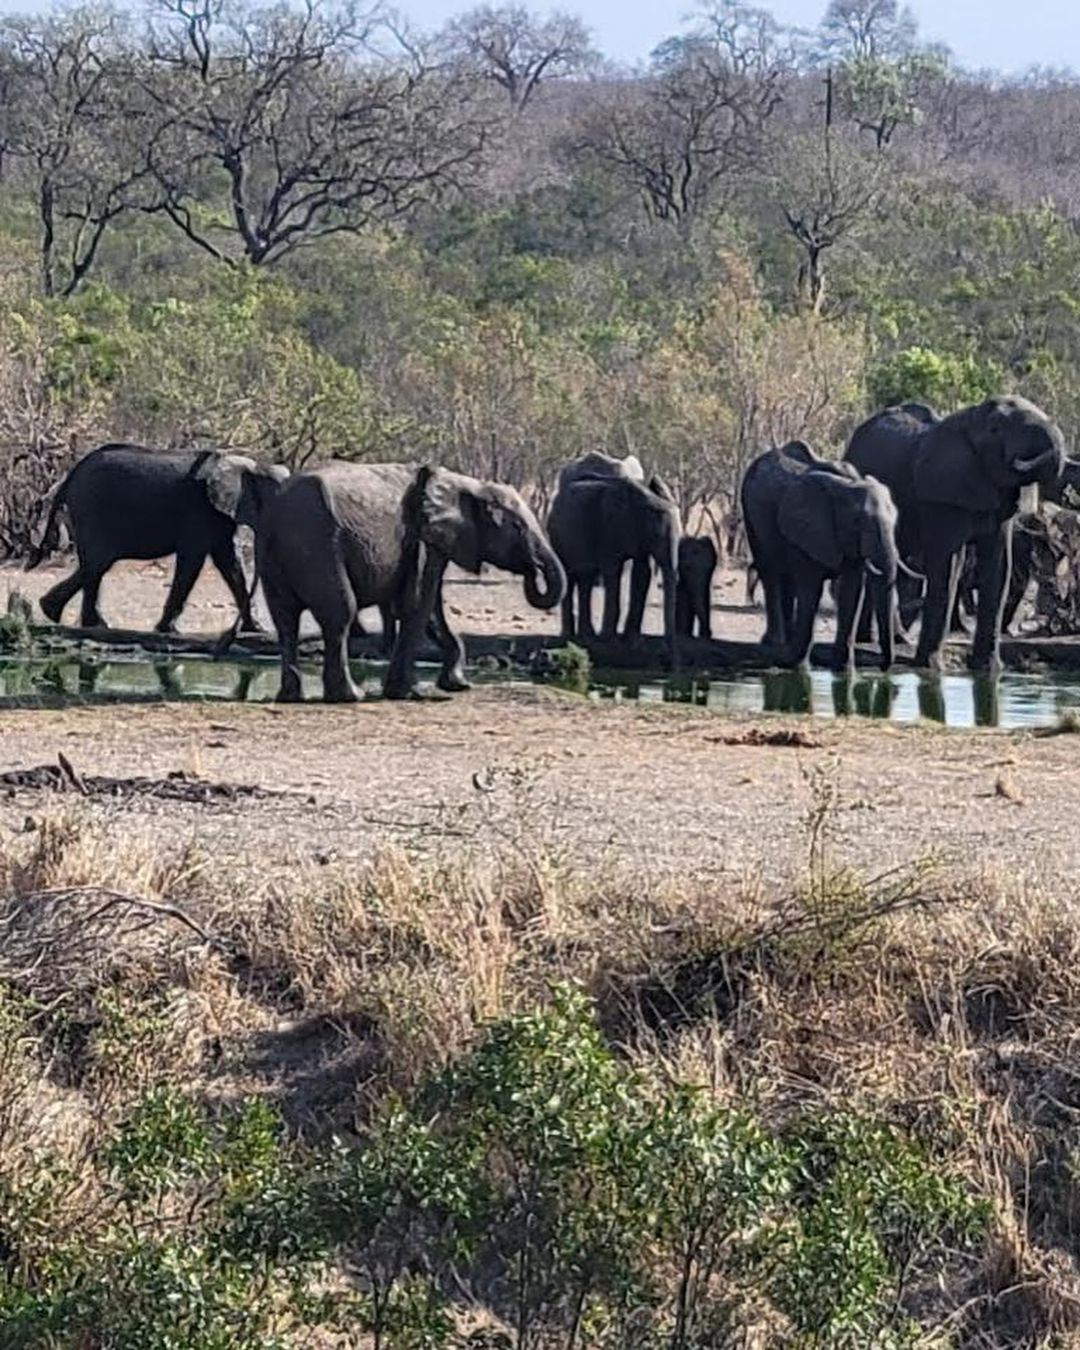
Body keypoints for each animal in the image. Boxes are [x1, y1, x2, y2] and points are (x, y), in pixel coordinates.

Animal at [29, 442, 288, 631]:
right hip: (92, 509)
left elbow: (230, 563)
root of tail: (71, 476)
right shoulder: (200, 509)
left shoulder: (220, 513)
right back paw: (70, 617)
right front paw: (166, 629)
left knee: (95, 566)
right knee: (97, 562)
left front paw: (255, 630)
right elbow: (193, 561)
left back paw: (73, 618)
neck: (247, 465)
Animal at [548, 459, 683, 664]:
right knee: (570, 576)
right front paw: (610, 642)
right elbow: (613, 570)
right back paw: (569, 637)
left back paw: (586, 637)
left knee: (586, 578)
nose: (666, 660)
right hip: (558, 537)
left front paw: (633, 643)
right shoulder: (611, 527)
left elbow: (642, 572)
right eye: (657, 535)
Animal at [745, 445, 901, 672]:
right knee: (770, 572)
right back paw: (775, 643)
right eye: (857, 522)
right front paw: (799, 667)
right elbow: (811, 589)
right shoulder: (807, 527)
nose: (882, 667)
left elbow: (851, 590)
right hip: (750, 514)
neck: (848, 485)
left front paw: (843, 669)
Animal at [847, 399, 1074, 675]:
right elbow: (948, 568)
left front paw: (988, 669)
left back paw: (885, 640)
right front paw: (930, 668)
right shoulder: (941, 495)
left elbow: (998, 569)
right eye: (996, 429)